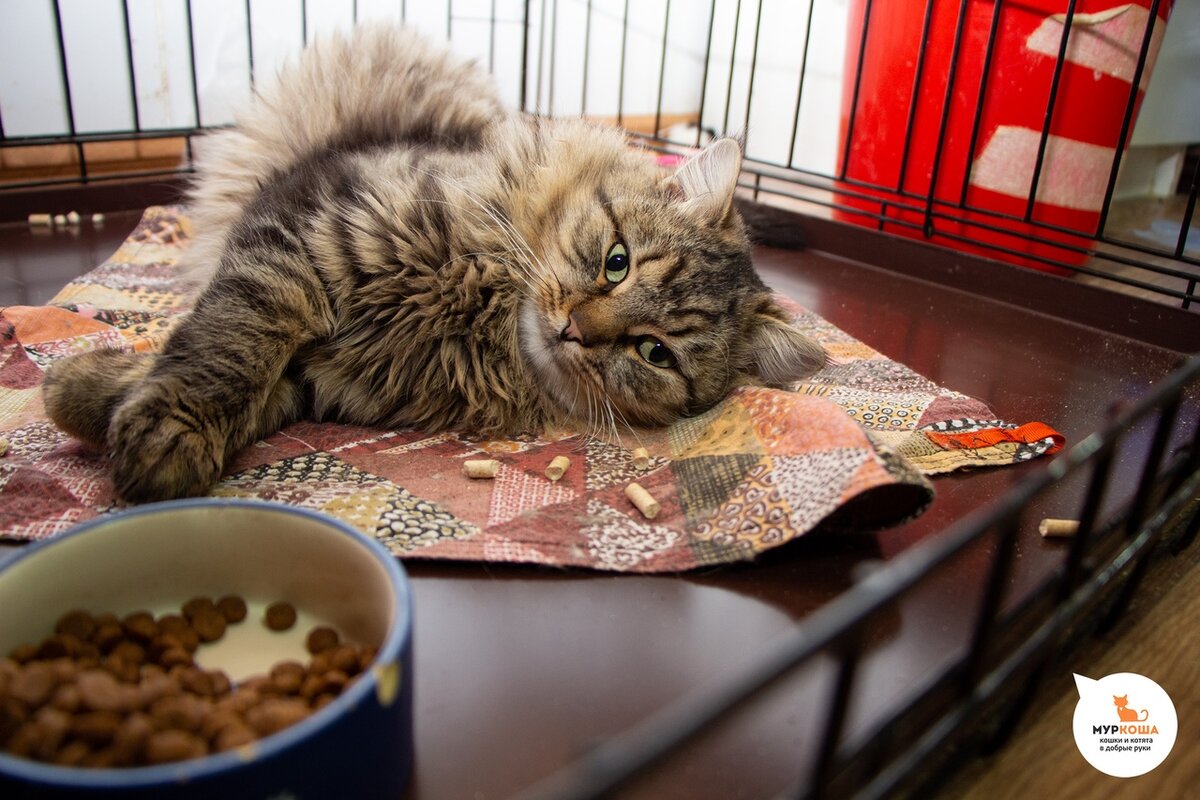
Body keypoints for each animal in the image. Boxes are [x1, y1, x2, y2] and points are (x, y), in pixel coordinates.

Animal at [39, 25, 825, 503]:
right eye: (616, 262)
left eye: (654, 352)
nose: (574, 328)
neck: (474, 306)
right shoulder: (301, 233)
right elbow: (227, 343)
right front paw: (136, 417)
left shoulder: (323, 377)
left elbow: (248, 383)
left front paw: (96, 402)